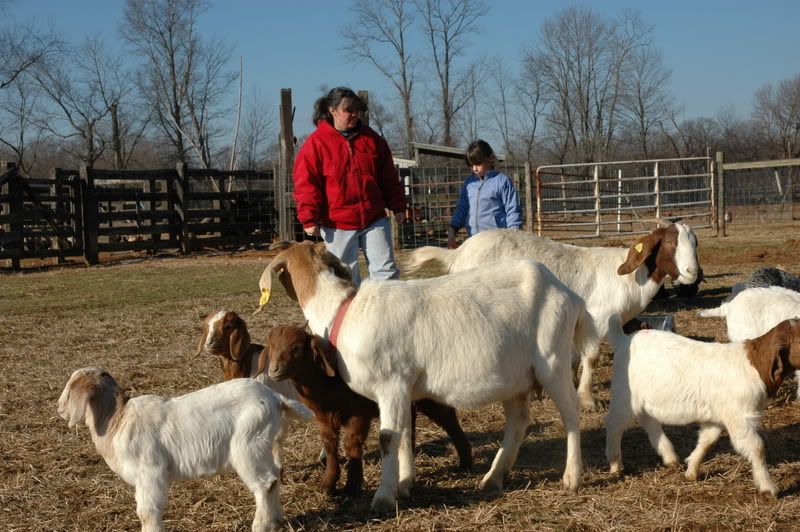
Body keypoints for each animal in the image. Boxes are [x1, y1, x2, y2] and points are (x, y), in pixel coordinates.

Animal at [58, 367, 313, 532]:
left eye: (70, 391)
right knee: (275, 478)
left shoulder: (150, 472)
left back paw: (260, 525)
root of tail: (274, 397)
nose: (59, 408)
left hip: (248, 446)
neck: (117, 421)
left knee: (265, 483)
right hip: (261, 446)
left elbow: (148, 511)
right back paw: (276, 519)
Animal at [264, 324, 472, 496]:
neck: (327, 382)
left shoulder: (359, 412)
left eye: (297, 348)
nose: (275, 370)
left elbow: (352, 444)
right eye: (271, 348)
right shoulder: (323, 416)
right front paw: (328, 484)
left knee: (447, 418)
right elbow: (330, 444)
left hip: (427, 396)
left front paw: (352, 486)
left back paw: (466, 462)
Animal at [404, 223, 700, 410]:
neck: (630, 278)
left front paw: (565, 384)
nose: (692, 272)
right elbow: (591, 357)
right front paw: (588, 399)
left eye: (694, 243)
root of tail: (458, 253)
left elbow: (572, 357)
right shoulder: (596, 319)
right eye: (670, 242)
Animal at [604, 316, 800, 497]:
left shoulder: (717, 417)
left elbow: (707, 440)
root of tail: (623, 339)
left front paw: (691, 470)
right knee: (614, 425)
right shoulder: (738, 417)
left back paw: (670, 457)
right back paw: (616, 465)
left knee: (649, 421)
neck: (755, 365)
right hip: (624, 395)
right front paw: (768, 488)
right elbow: (757, 447)